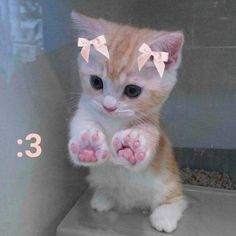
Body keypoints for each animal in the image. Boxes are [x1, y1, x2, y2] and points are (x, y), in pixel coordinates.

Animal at [68, 12, 186, 233]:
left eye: (132, 90)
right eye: (96, 82)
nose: (109, 106)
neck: (113, 122)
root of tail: (132, 202)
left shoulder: (152, 126)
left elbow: (146, 142)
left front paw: (131, 146)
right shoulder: (84, 111)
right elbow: (81, 127)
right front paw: (87, 144)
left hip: (168, 181)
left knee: (177, 199)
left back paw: (165, 216)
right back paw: (104, 197)